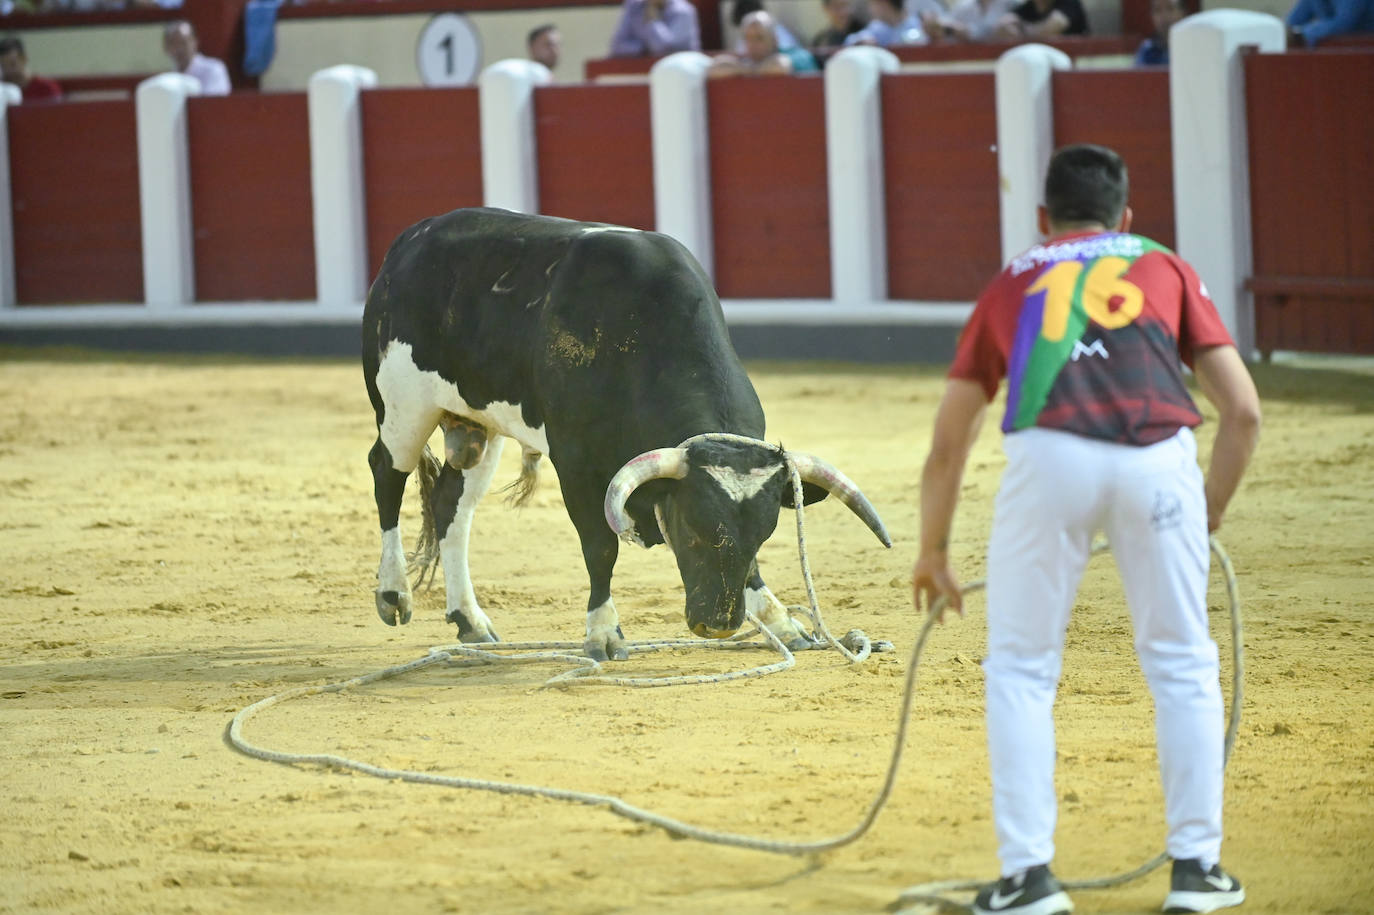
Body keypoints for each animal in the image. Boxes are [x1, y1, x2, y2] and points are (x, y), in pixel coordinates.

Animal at [362, 208, 890, 656]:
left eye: (764, 534)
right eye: (691, 530)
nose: (719, 624)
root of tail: (411, 240)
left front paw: (783, 622)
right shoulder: (574, 463)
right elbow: (600, 547)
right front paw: (603, 633)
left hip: (475, 424)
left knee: (452, 505)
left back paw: (470, 620)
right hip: (403, 406)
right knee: (387, 475)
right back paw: (393, 594)